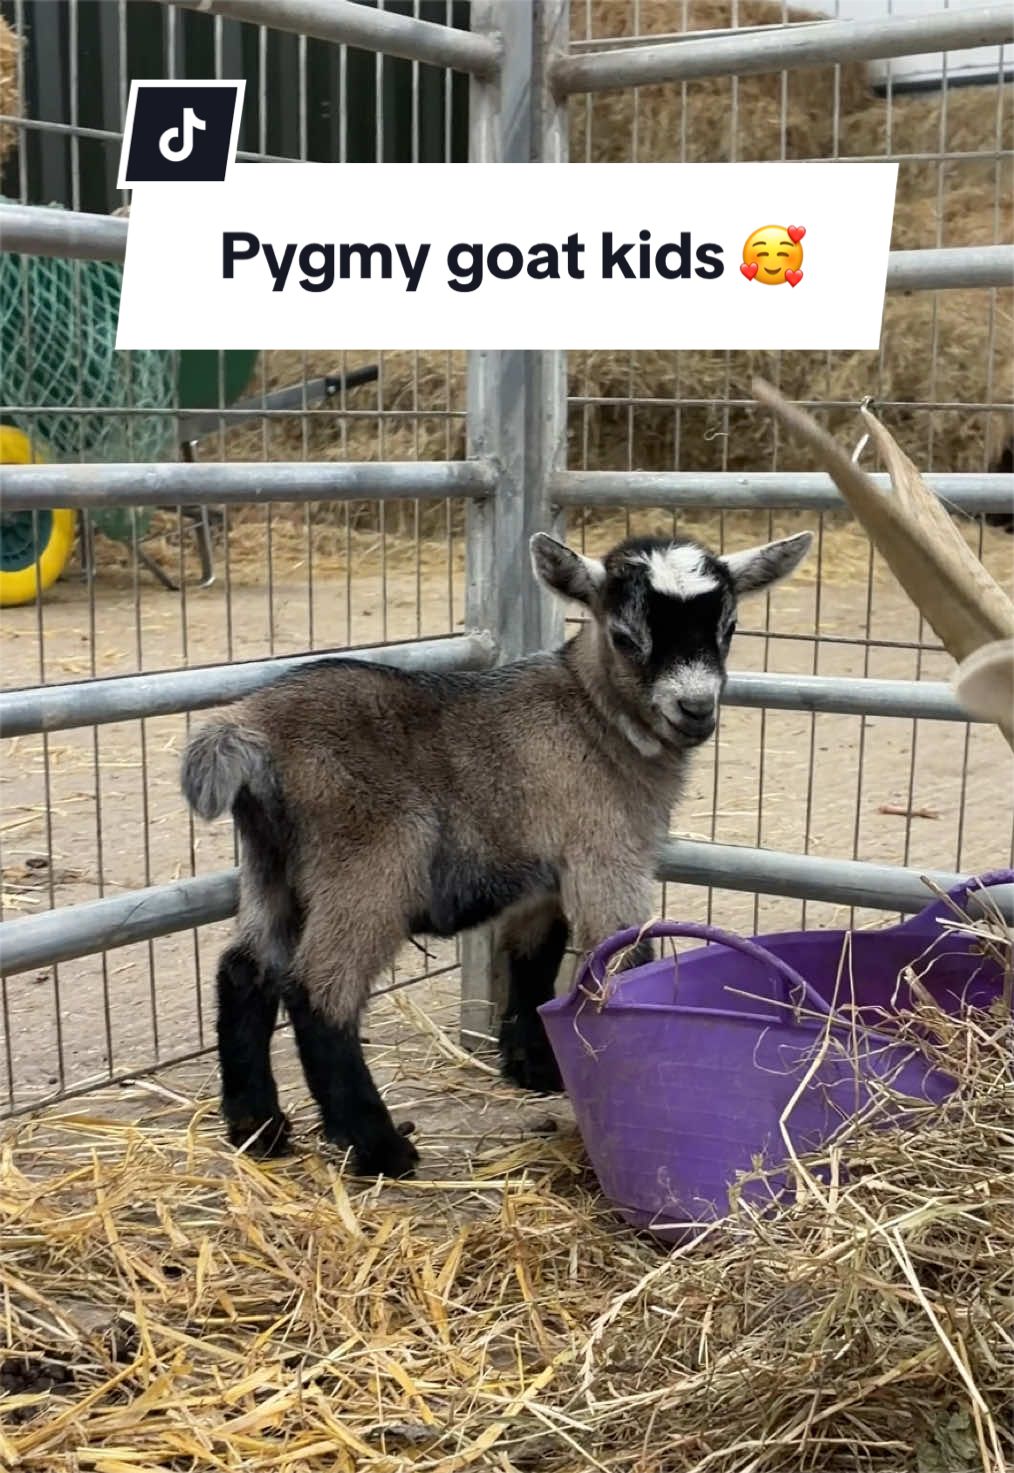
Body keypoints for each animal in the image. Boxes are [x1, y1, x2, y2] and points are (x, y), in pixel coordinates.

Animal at [181, 528, 813, 1178]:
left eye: (729, 628)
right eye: (625, 635)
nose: (696, 709)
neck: (589, 715)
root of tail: (249, 731)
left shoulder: (542, 875)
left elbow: (533, 959)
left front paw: (533, 1067)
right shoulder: (607, 854)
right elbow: (627, 956)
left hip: (270, 864)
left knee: (244, 970)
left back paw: (258, 1127)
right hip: (369, 865)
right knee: (317, 987)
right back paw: (378, 1146)